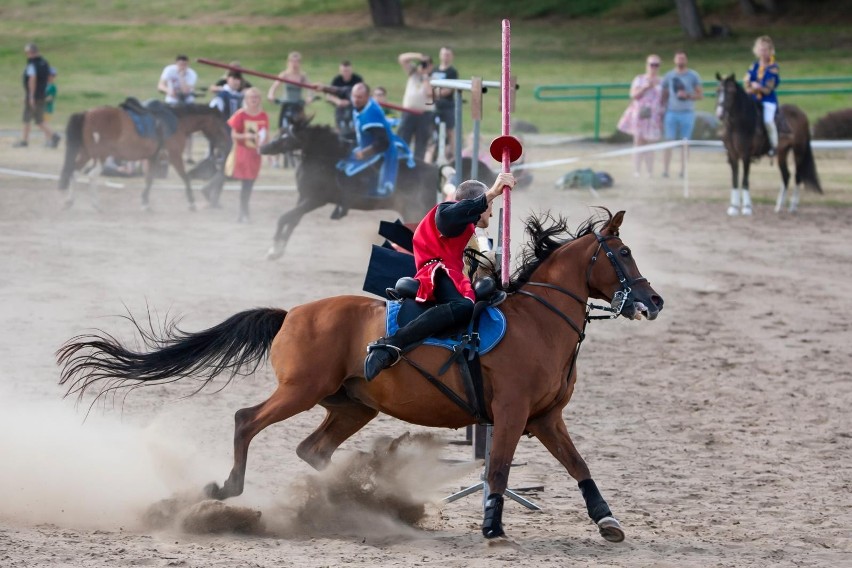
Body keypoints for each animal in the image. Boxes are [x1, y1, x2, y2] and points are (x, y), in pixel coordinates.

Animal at [57, 103, 231, 210]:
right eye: (221, 124)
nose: (227, 143)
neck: (177, 123)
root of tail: (86, 114)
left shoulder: (153, 157)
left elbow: (149, 180)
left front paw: (145, 203)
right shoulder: (174, 156)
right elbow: (185, 177)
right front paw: (192, 203)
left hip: (87, 153)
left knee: (74, 172)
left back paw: (69, 201)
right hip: (101, 156)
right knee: (91, 176)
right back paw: (96, 205)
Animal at [58, 209, 664, 540]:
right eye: (623, 253)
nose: (653, 302)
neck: (539, 321)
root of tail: (291, 313)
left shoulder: (545, 418)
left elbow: (580, 466)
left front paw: (607, 522)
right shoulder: (513, 415)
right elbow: (496, 471)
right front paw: (493, 527)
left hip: (352, 405)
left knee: (313, 450)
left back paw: (344, 504)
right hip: (299, 391)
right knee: (246, 420)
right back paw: (228, 487)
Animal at [260, 122, 500, 262]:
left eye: (284, 135)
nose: (263, 148)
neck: (324, 158)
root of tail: (435, 169)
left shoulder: (314, 200)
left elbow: (285, 218)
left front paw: (272, 249)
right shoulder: (304, 199)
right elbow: (292, 221)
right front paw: (279, 248)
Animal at [716, 74, 824, 216]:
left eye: (731, 91)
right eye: (718, 91)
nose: (720, 113)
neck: (738, 124)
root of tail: (801, 112)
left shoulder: (746, 156)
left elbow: (745, 180)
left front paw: (747, 208)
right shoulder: (732, 155)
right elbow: (734, 180)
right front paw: (733, 208)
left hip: (799, 151)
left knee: (797, 176)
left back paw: (793, 206)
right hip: (782, 152)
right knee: (786, 175)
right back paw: (778, 207)